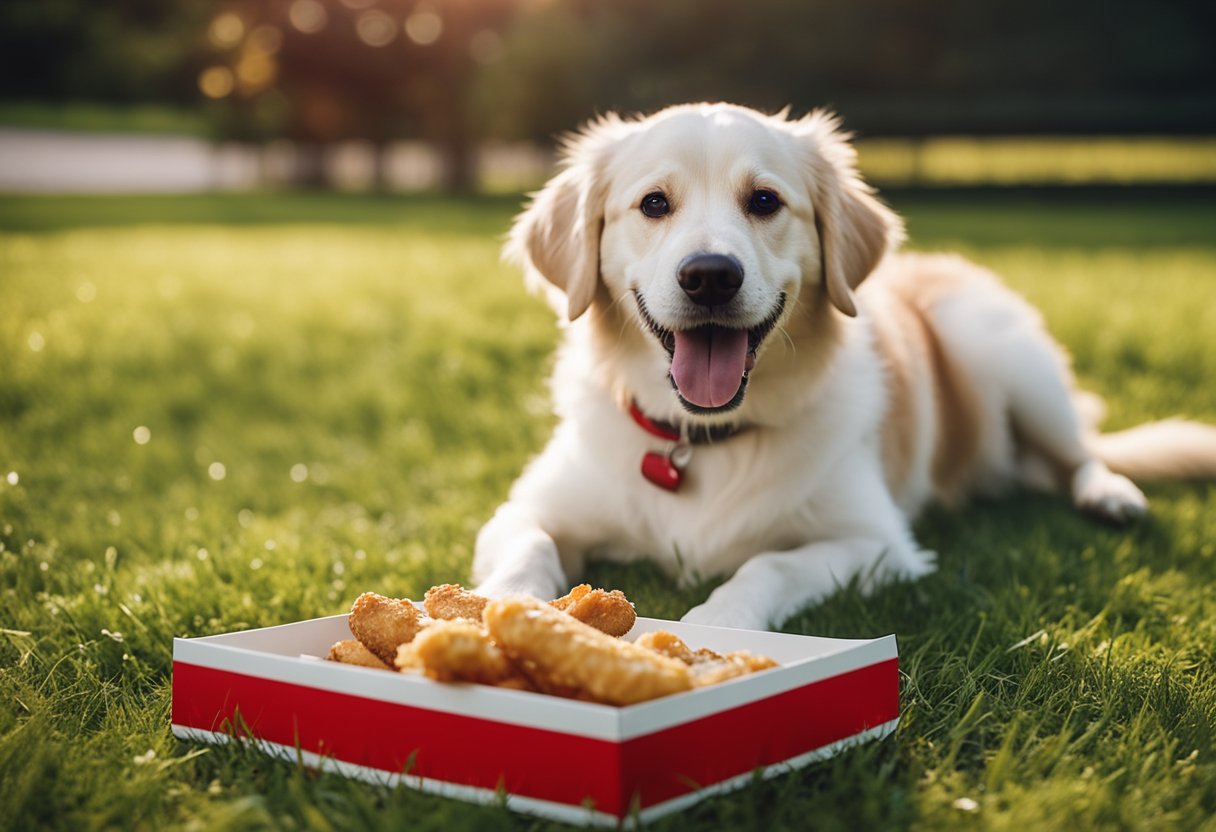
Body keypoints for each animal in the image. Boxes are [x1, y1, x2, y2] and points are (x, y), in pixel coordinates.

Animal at [466, 100, 1216, 627]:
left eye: (764, 200)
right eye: (654, 203)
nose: (710, 276)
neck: (701, 441)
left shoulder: (875, 542)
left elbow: (767, 565)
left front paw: (720, 620)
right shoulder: (522, 510)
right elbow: (529, 550)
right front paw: (492, 615)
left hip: (994, 346)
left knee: (1082, 452)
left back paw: (1110, 494)